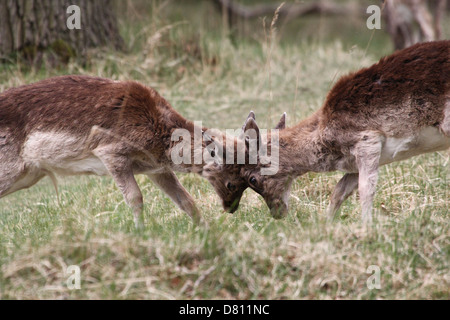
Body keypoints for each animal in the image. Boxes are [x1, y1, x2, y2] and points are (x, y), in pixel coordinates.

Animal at [0, 76, 246, 228]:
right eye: (231, 183)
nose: (232, 208)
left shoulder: (156, 168)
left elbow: (185, 199)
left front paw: (207, 230)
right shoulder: (110, 151)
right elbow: (135, 197)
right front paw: (140, 231)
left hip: (29, 174)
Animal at [223, 40, 448, 222]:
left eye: (252, 179)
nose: (277, 214)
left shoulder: (367, 139)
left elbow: (366, 188)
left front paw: (367, 226)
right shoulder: (358, 160)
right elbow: (340, 189)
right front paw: (327, 223)